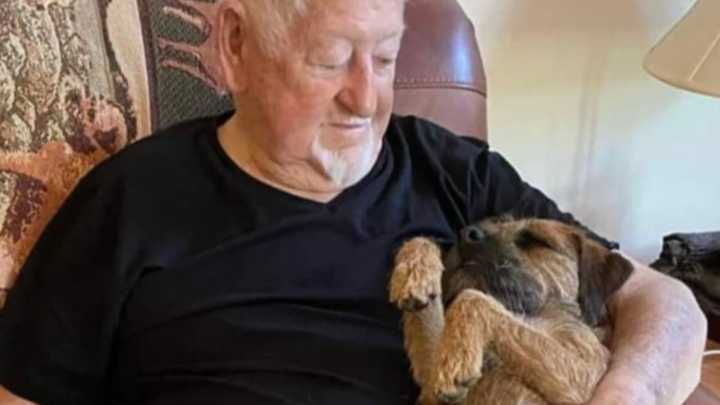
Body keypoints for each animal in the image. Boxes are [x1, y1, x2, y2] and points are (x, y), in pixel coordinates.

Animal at [390, 216, 632, 402]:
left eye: (534, 240)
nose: (466, 233)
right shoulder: (430, 382)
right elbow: (421, 239)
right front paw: (414, 271)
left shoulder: (584, 374)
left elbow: (473, 298)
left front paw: (457, 357)